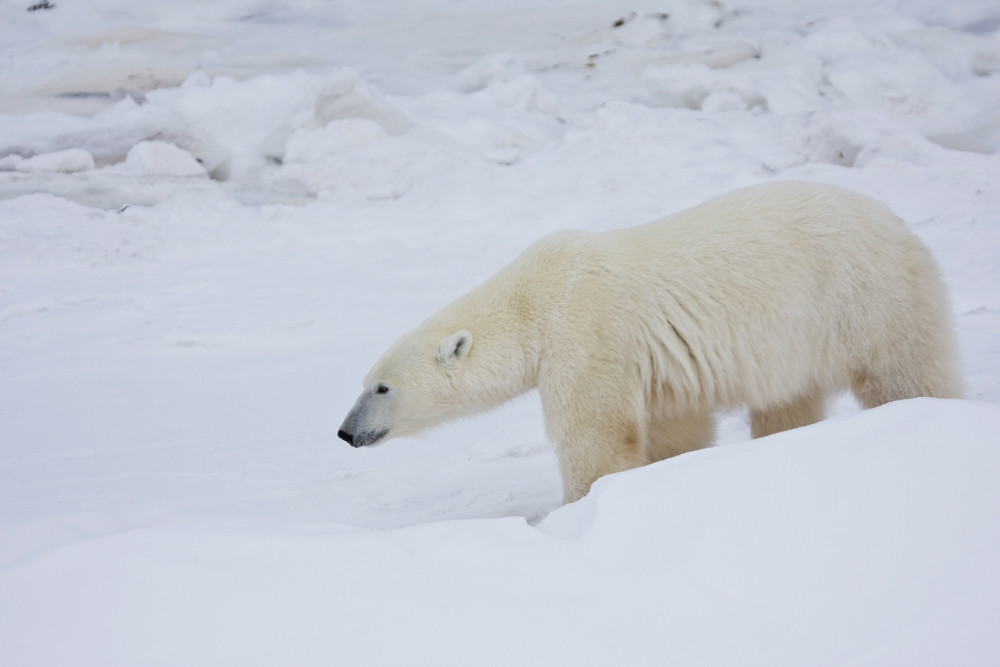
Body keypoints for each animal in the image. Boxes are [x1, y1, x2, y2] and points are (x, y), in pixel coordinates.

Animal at [338, 181, 961, 504]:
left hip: (864, 295)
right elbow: (674, 427)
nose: (345, 432)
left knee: (903, 372)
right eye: (366, 382)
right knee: (787, 402)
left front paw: (580, 508)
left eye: (382, 387)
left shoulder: (586, 333)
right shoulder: (656, 366)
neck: (536, 299)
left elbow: (596, 435)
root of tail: (896, 220)